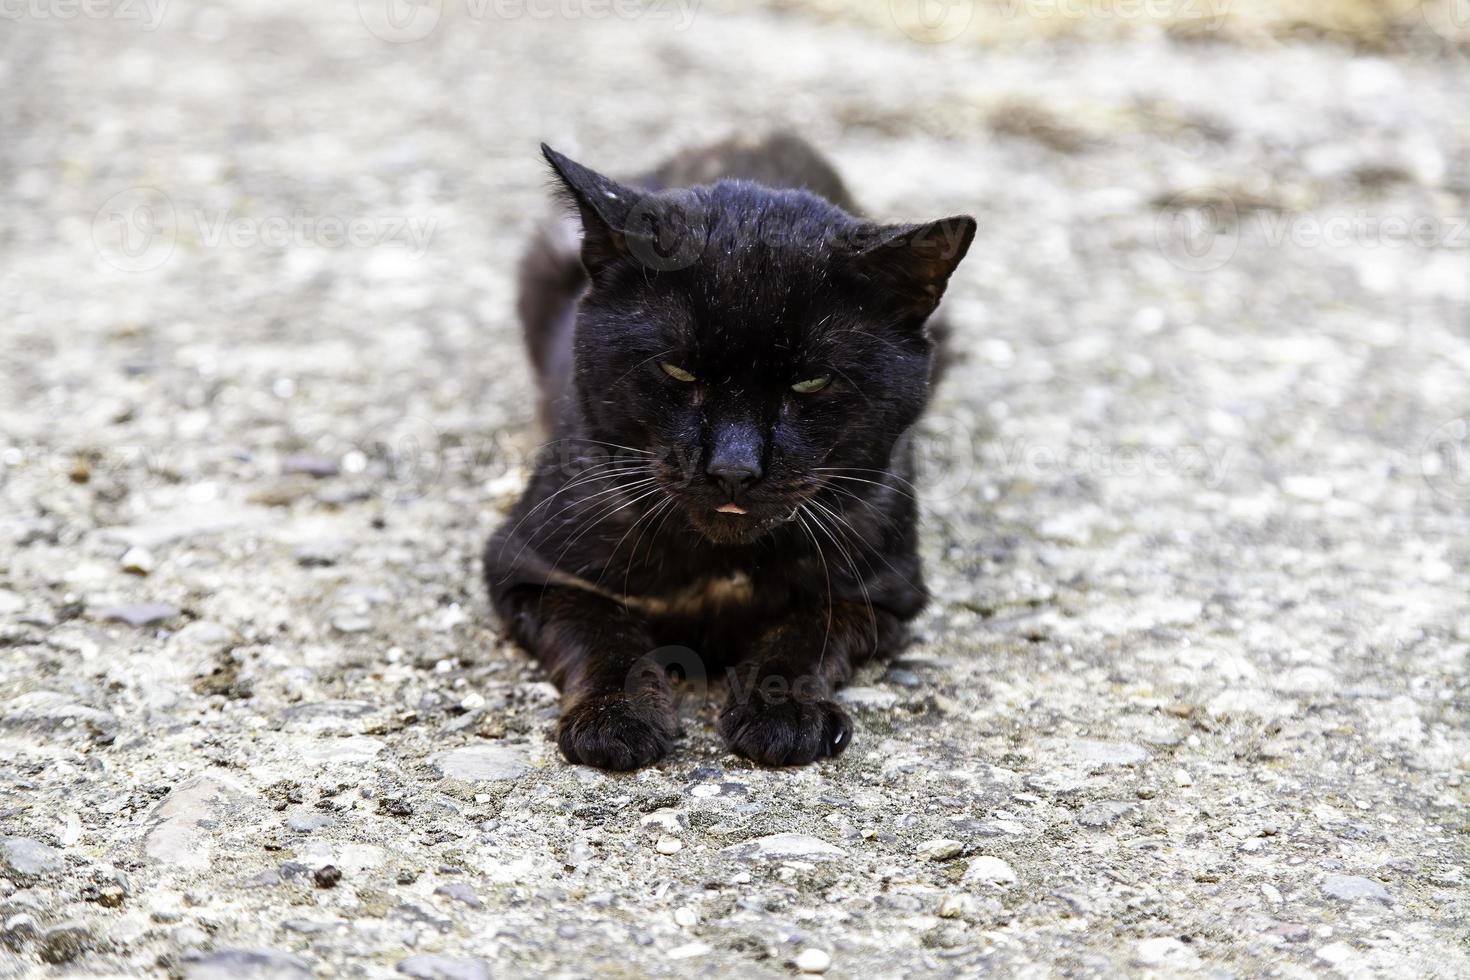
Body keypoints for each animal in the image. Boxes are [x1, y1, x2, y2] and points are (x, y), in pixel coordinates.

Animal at [485, 134, 976, 769]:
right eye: (677, 369)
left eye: (810, 382)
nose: (734, 467)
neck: (721, 566)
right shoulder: (526, 567)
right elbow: (601, 630)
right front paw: (615, 719)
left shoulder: (883, 589)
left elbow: (807, 629)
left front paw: (782, 715)